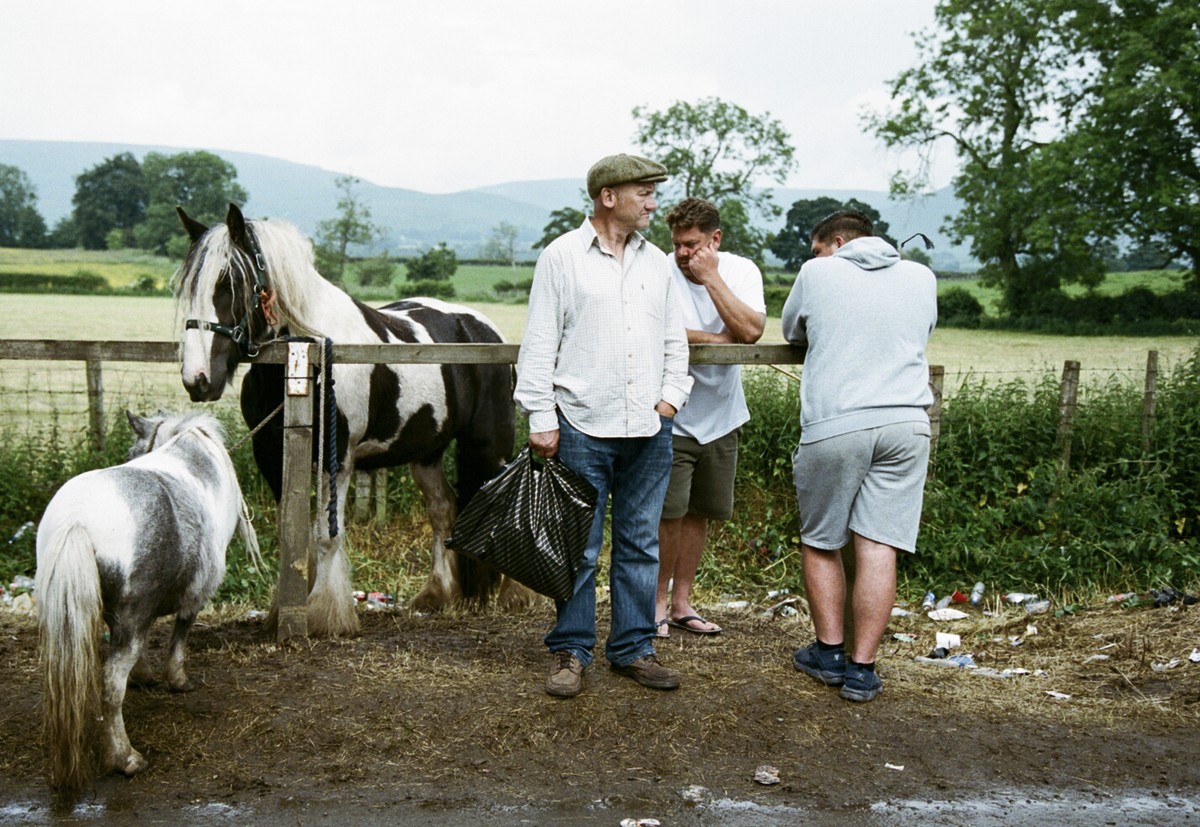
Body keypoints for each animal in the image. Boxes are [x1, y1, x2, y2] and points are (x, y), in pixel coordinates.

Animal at [36, 410, 258, 796]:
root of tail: (76, 521)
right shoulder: (191, 593)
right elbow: (181, 631)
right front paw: (176, 678)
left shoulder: (133, 614)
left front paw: (144, 675)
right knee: (111, 684)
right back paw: (126, 758)